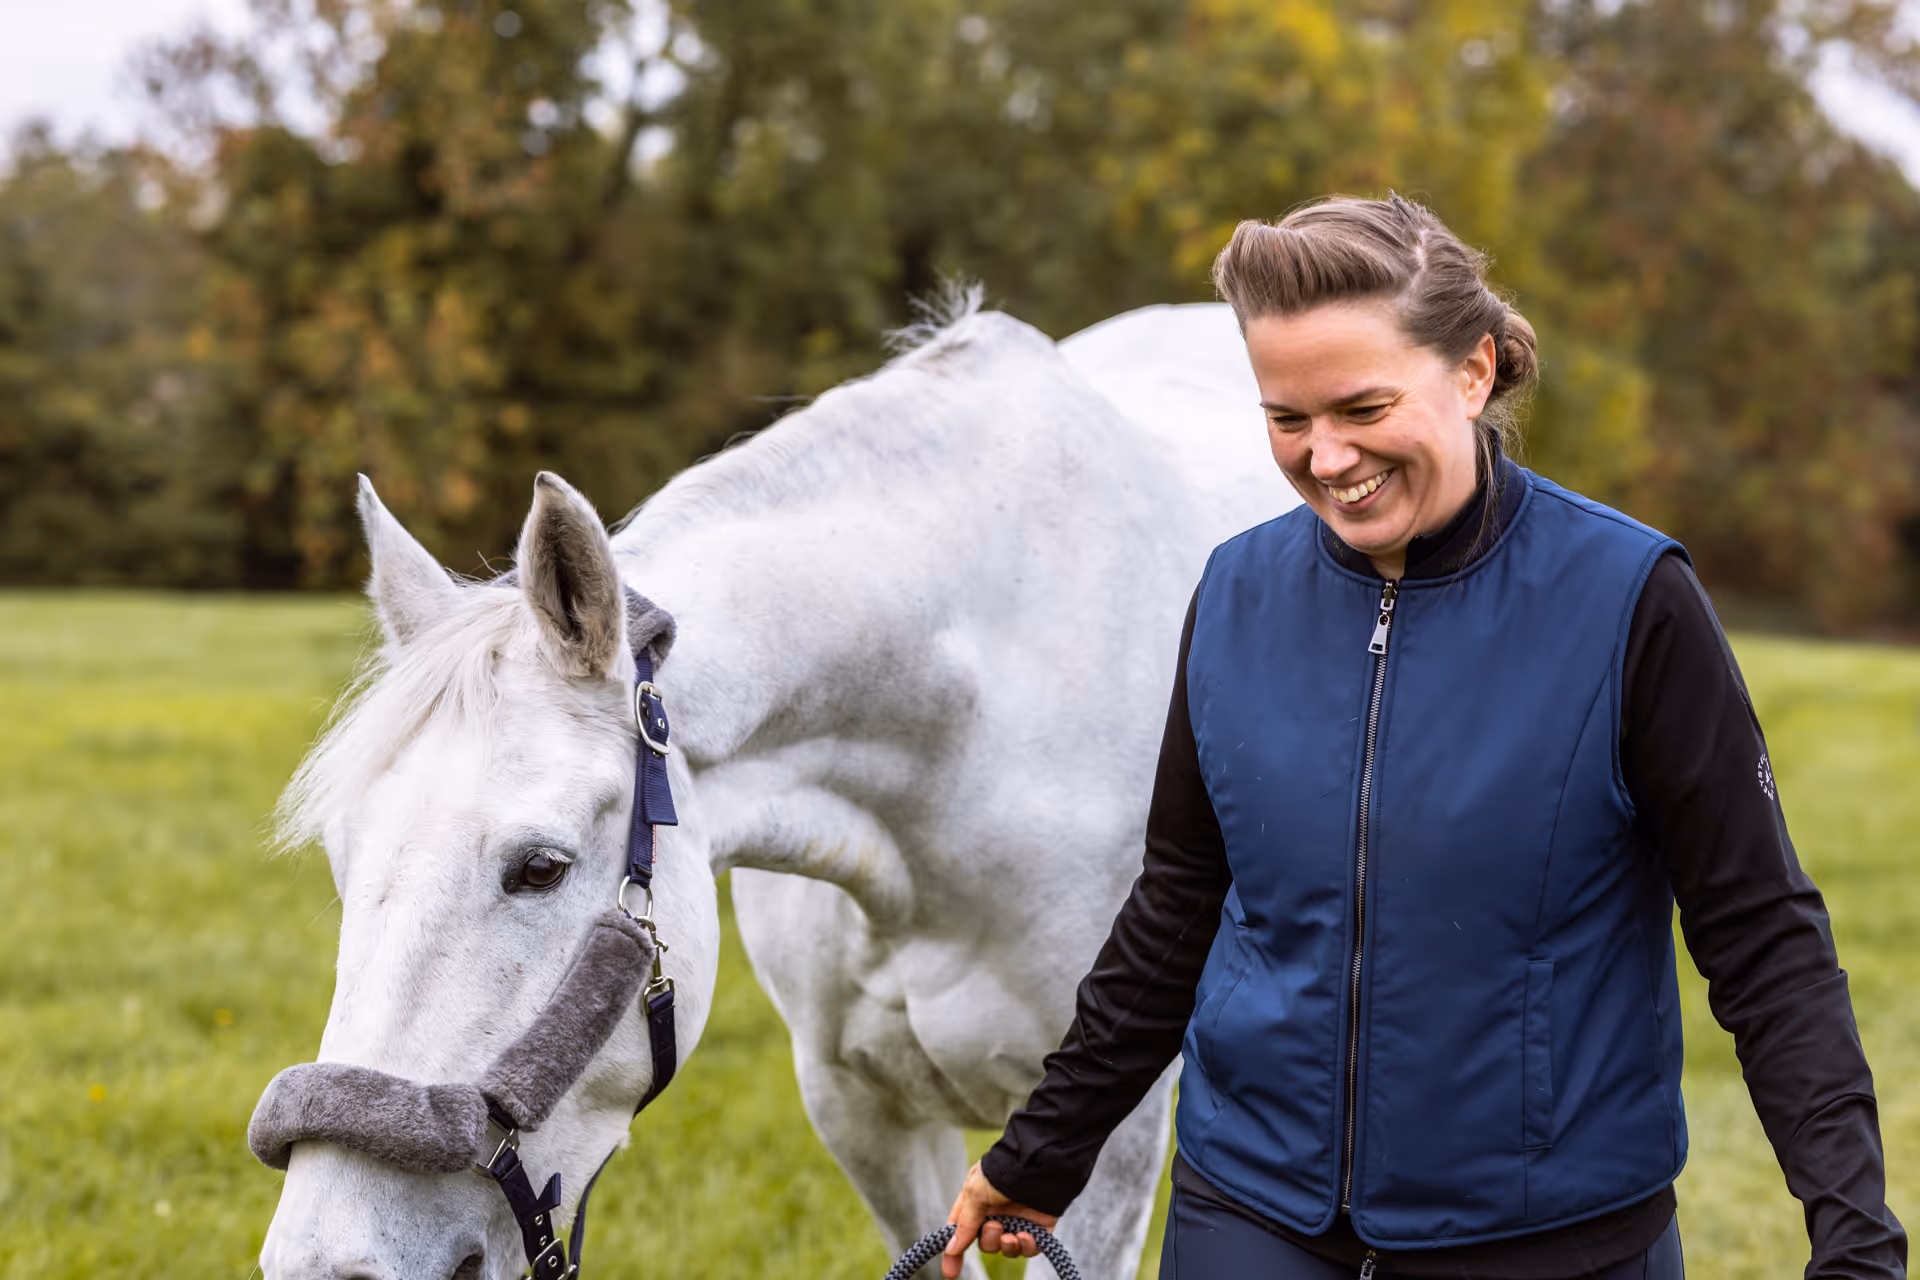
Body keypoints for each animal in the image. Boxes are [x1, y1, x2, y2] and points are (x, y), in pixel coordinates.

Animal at [256, 294, 1296, 1280]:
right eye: (345, 864)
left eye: (540, 868)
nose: (327, 1262)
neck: (969, 736)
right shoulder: (864, 1114)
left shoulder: (1108, 1154)